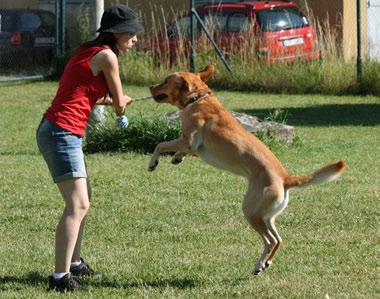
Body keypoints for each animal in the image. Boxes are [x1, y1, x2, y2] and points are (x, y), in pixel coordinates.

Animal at [148, 64, 344, 276]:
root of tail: (285, 178)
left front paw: (153, 162)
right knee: (278, 239)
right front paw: (177, 158)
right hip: (267, 216)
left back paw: (259, 265)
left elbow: (161, 145)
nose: (150, 86)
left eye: (166, 81)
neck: (197, 98)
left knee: (270, 241)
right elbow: (180, 151)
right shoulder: (190, 146)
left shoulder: (188, 141)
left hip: (251, 210)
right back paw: (267, 262)